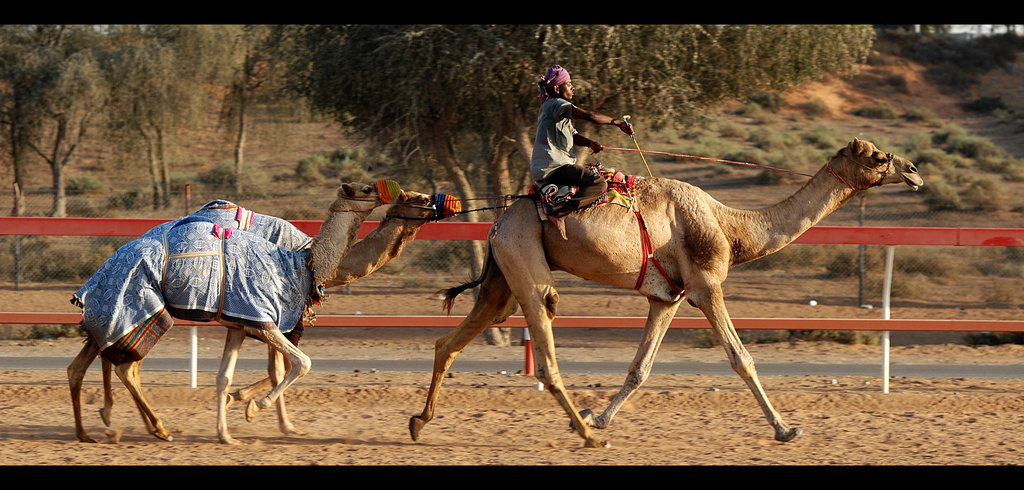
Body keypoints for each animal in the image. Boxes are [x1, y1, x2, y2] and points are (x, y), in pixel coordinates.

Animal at [67, 181, 415, 446]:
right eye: (366, 188)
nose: (396, 193)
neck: (301, 264)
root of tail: (94, 278)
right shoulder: (265, 318)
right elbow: (297, 364)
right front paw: (256, 410)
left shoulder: (240, 322)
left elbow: (225, 376)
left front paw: (229, 431)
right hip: (137, 306)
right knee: (126, 365)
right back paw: (156, 428)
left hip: (114, 313)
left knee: (86, 363)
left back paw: (94, 430)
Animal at [409, 138, 929, 448]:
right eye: (879, 158)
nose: (914, 170)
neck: (731, 227)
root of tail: (496, 222)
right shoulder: (705, 285)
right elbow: (742, 359)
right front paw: (786, 428)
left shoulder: (667, 297)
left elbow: (641, 368)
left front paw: (601, 415)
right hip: (526, 262)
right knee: (546, 348)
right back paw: (586, 436)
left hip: (501, 277)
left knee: (450, 341)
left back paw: (420, 420)